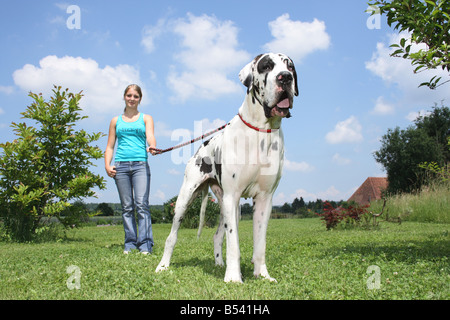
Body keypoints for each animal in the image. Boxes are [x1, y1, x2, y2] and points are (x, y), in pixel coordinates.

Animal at [156, 53, 298, 284]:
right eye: (266, 66)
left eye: (290, 66)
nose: (285, 77)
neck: (261, 131)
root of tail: (201, 148)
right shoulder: (233, 195)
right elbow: (234, 244)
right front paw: (233, 278)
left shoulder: (264, 199)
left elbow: (260, 245)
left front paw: (262, 275)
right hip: (185, 200)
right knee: (172, 237)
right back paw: (163, 266)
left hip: (228, 206)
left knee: (216, 236)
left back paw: (219, 264)